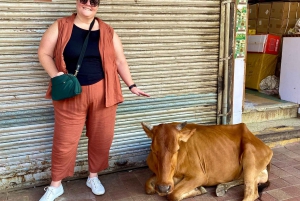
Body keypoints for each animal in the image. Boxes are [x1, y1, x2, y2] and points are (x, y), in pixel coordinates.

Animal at [142, 121, 274, 200]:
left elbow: (173, 194)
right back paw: (221, 187)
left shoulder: (199, 176)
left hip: (249, 157)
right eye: (153, 150)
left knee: (251, 193)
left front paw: (198, 189)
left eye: (177, 149)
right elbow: (148, 186)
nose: (163, 188)